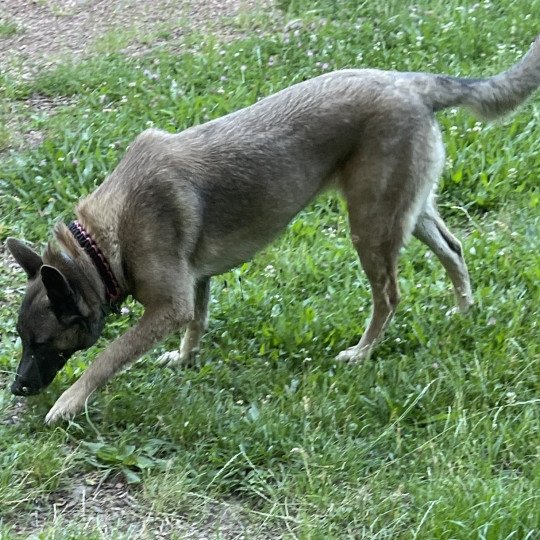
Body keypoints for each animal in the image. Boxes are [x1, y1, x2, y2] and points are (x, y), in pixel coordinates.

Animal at [6, 39, 536, 426]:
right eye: (20, 339)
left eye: (40, 343)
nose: (15, 388)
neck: (98, 245)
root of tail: (410, 82)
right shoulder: (197, 282)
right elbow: (198, 322)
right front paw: (185, 359)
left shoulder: (168, 305)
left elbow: (108, 357)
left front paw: (70, 402)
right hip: (408, 212)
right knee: (455, 248)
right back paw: (464, 310)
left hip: (370, 228)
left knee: (390, 295)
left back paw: (363, 352)